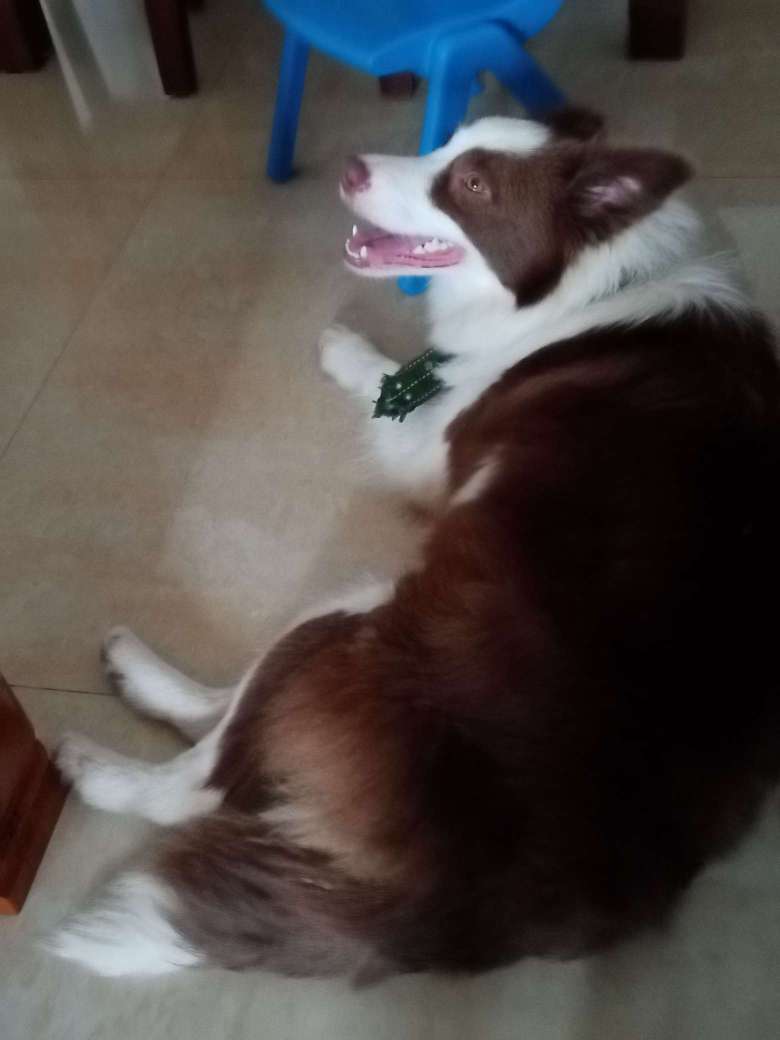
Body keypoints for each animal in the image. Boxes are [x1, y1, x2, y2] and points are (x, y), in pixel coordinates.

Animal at [50, 110, 780, 980]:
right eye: (450, 138)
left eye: (471, 184)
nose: (352, 168)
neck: (600, 275)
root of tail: (451, 909)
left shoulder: (429, 444)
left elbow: (387, 384)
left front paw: (343, 347)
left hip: (357, 610)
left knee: (204, 775)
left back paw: (105, 748)